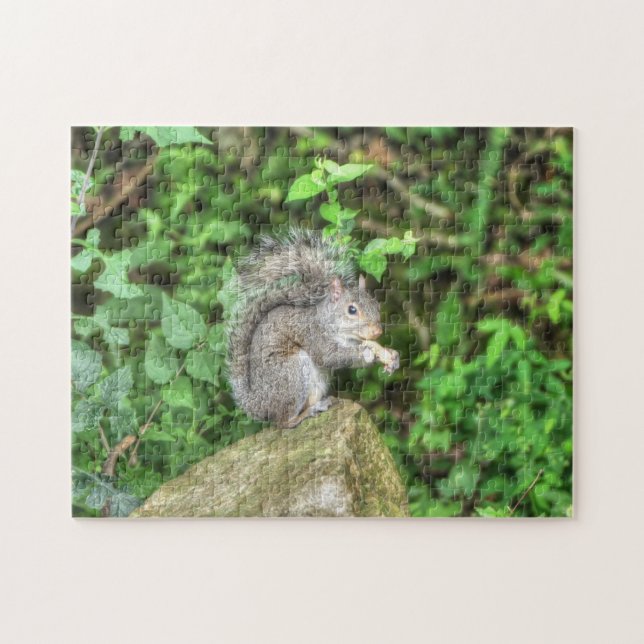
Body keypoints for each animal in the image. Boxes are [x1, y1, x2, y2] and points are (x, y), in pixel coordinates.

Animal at [225, 228, 400, 428]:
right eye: (352, 310)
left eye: (376, 305)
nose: (377, 332)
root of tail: (259, 405)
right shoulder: (313, 334)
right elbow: (328, 356)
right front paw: (366, 352)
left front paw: (392, 356)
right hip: (291, 374)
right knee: (283, 422)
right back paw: (305, 414)